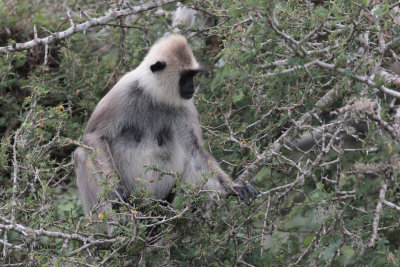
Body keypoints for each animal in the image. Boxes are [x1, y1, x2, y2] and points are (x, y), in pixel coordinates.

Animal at [74, 34, 256, 226]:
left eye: (192, 75)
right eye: (185, 77)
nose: (192, 87)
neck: (153, 93)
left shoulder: (184, 105)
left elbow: (196, 150)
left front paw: (234, 187)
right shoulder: (123, 92)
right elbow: (94, 136)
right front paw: (116, 188)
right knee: (81, 153)